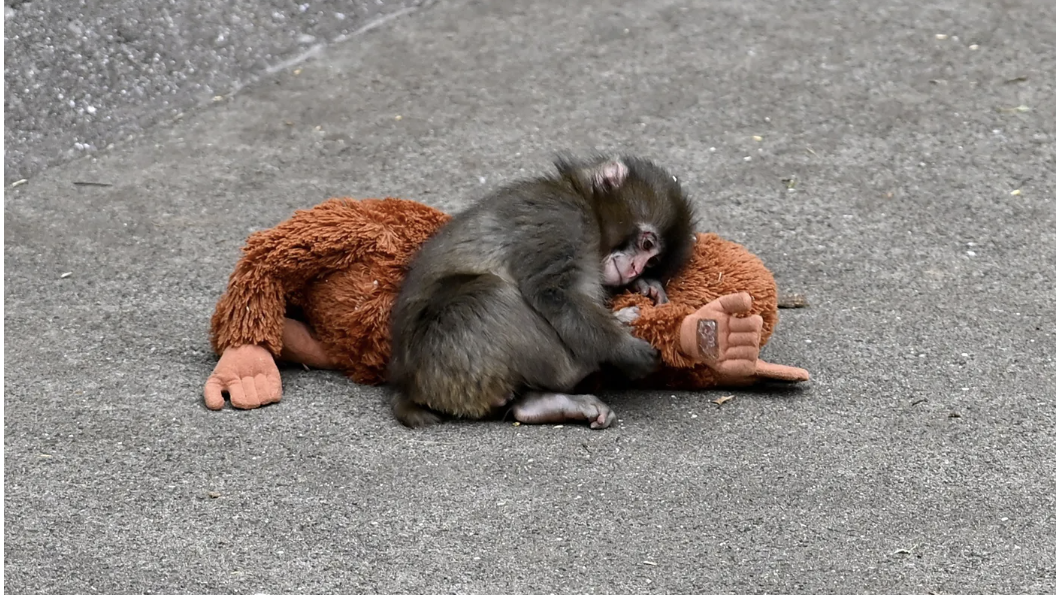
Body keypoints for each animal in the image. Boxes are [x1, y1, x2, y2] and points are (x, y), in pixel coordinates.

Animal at [386, 155, 695, 429]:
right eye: (646, 244)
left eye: (652, 261)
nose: (634, 270)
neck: (584, 201)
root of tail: (408, 386)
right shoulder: (563, 220)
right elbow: (553, 292)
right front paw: (623, 349)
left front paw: (646, 286)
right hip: (445, 355)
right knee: (489, 294)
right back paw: (583, 364)